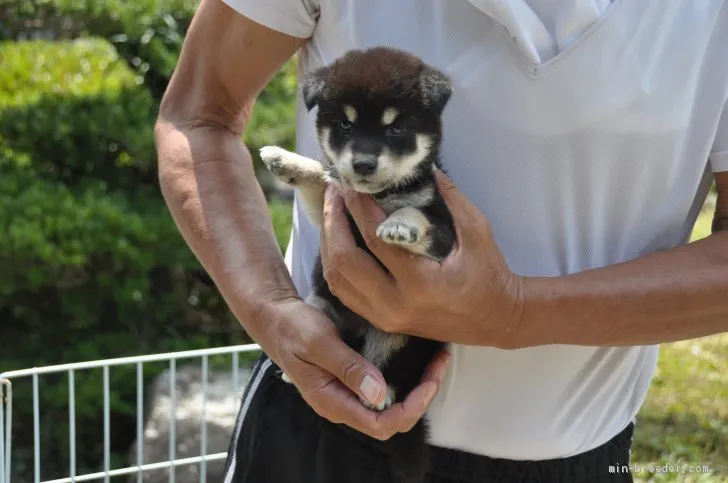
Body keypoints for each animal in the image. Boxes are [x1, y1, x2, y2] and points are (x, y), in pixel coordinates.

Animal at [260, 46, 456, 483]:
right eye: (344, 126)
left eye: (396, 129)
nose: (363, 164)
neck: (379, 194)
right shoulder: (333, 204)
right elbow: (322, 175)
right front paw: (283, 159)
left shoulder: (446, 233)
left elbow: (417, 215)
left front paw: (400, 225)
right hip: (320, 308)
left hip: (399, 338)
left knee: (392, 374)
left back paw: (380, 396)